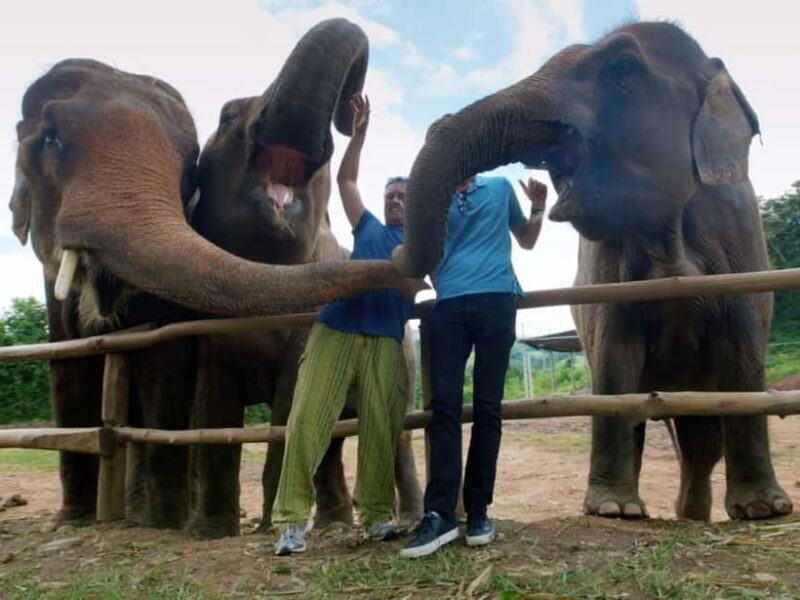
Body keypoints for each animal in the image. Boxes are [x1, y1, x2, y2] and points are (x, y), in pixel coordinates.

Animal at [10, 57, 410, 527]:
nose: (350, 111)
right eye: (50, 136)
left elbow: (202, 380)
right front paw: (79, 521)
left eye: (188, 167)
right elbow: (70, 374)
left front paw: (174, 524)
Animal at [393, 21, 793, 522]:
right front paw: (613, 509)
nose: (437, 119)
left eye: (624, 65)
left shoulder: (741, 237)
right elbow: (613, 353)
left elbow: (741, 350)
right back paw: (680, 513)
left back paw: (692, 515)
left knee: (702, 439)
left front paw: (765, 508)